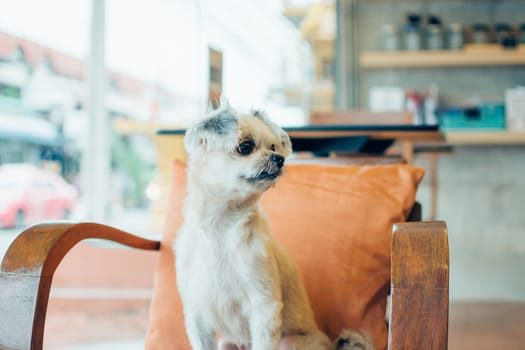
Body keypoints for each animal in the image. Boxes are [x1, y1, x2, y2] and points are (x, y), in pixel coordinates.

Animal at [173, 101, 372, 350]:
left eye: (274, 146)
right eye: (245, 147)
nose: (279, 158)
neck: (220, 228)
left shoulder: (263, 305)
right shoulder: (197, 313)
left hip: (288, 341)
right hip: (227, 343)